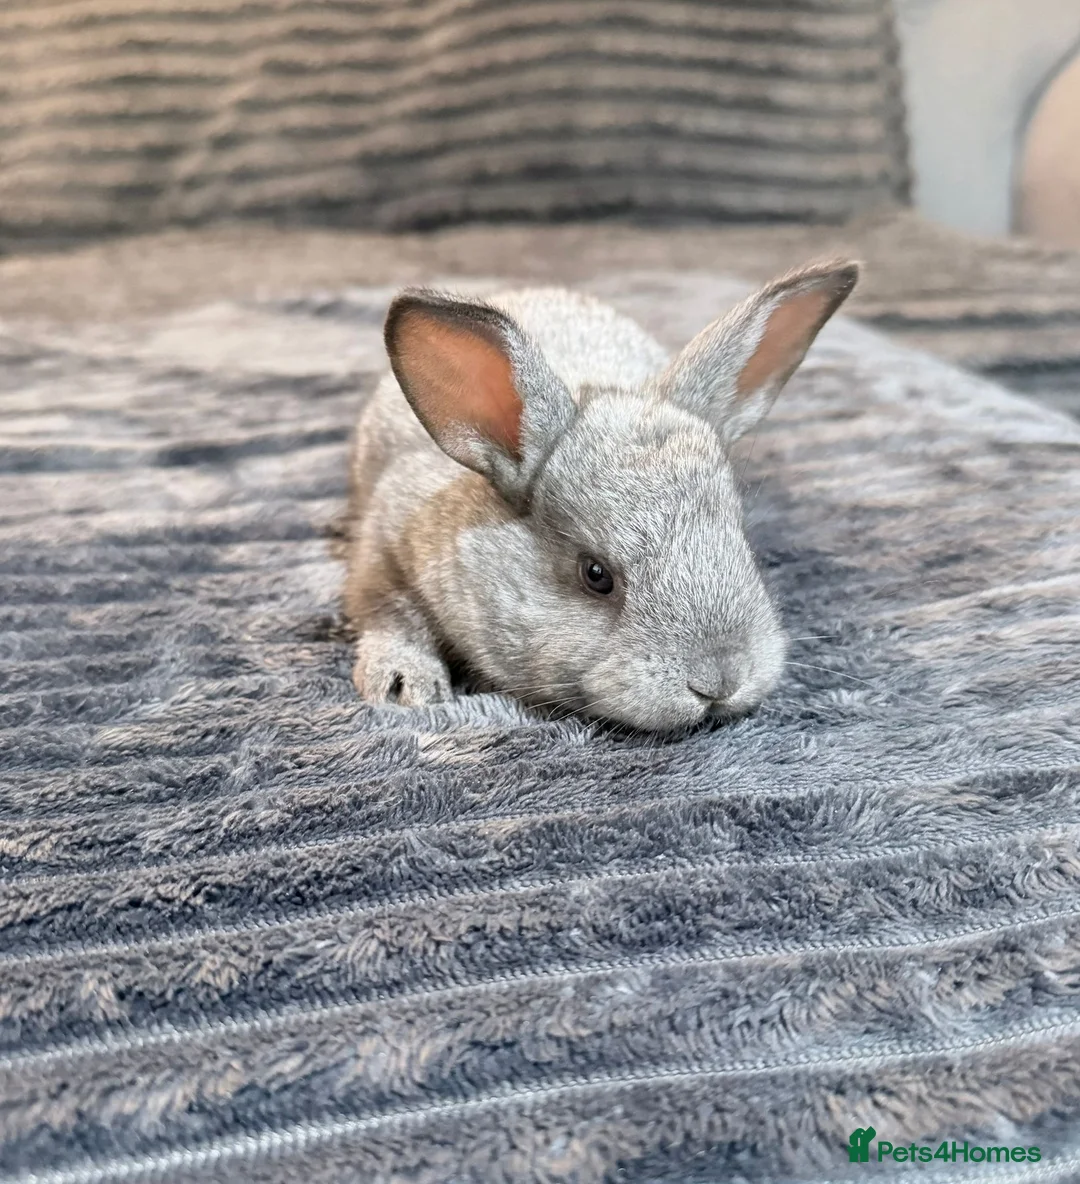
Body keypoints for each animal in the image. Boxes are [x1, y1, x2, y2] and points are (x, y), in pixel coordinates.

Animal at [343, 258, 859, 733]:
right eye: (595, 575)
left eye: (744, 542)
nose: (719, 681)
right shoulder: (384, 542)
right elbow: (389, 611)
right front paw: (403, 685)